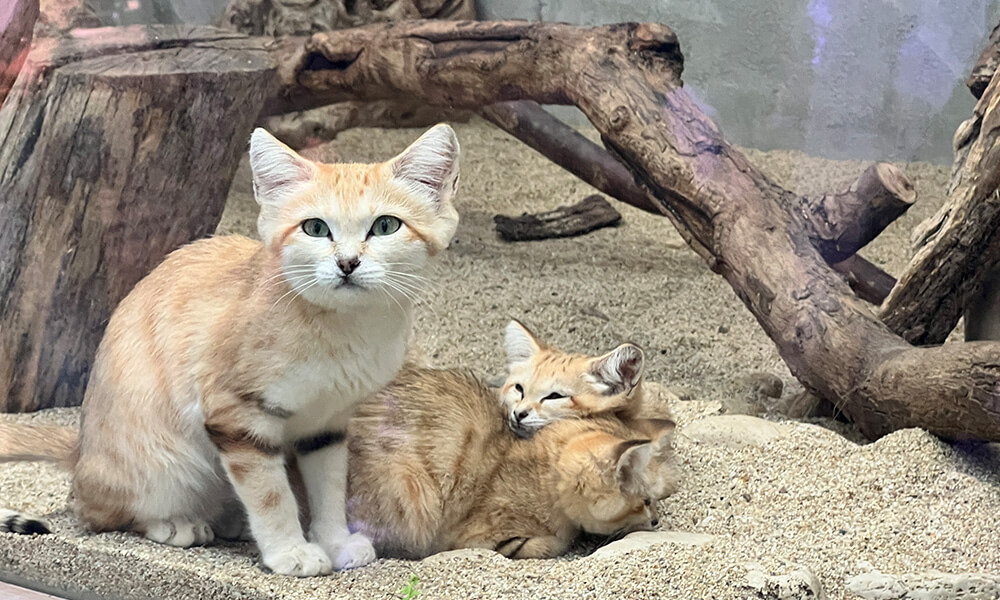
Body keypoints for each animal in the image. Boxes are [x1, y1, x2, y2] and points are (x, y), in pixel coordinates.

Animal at [0, 123, 460, 576]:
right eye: (315, 228)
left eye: (385, 226)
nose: (347, 263)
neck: (345, 327)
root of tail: (81, 452)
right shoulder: (236, 414)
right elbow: (271, 495)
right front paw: (291, 552)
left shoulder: (327, 423)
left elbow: (330, 487)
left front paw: (334, 541)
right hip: (164, 468)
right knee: (93, 510)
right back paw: (176, 524)